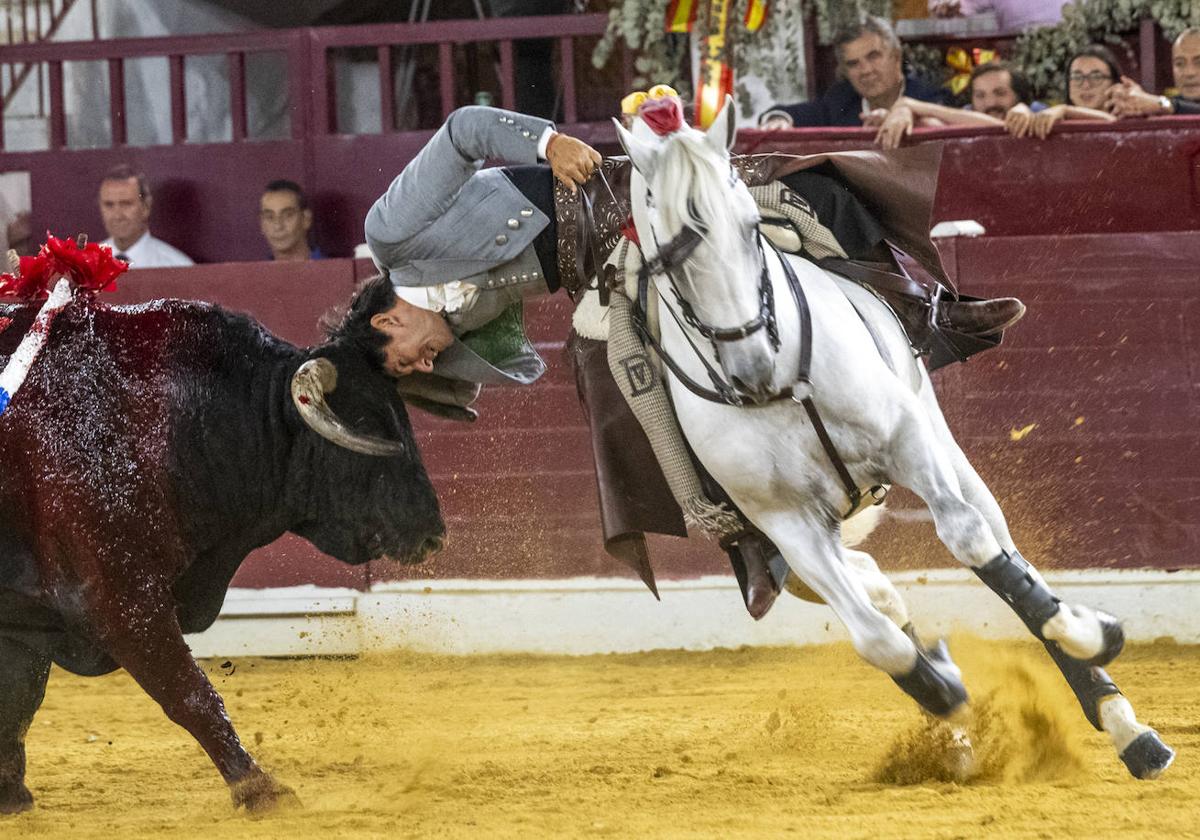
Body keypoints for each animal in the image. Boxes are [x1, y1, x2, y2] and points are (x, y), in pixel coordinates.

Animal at [0, 296, 446, 816]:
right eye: (369, 424)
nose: (434, 532)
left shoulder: (25, 615)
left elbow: (18, 699)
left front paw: (11, 796)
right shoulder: (121, 597)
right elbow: (189, 692)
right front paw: (261, 788)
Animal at [614, 98, 1176, 782]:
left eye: (749, 228)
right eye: (669, 258)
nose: (751, 366)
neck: (782, 382)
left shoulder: (907, 442)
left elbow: (972, 544)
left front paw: (1096, 634)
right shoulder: (785, 522)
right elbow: (876, 638)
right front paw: (944, 689)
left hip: (947, 451)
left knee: (997, 545)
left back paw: (1126, 724)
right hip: (784, 559)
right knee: (876, 590)